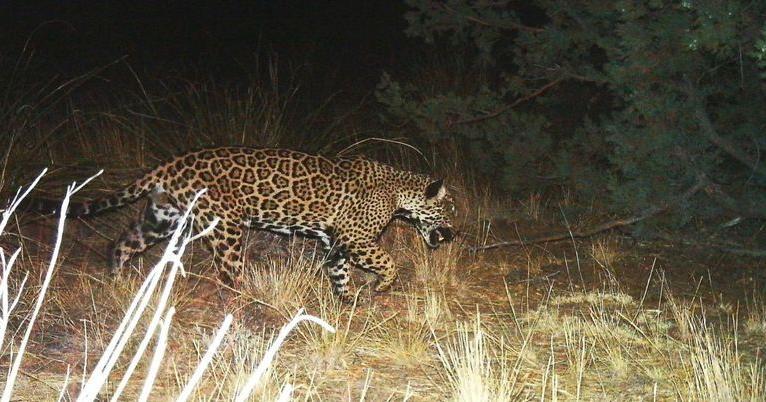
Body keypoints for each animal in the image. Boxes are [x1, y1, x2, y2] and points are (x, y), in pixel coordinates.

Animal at [30, 147, 455, 298]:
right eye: (447, 210)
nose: (453, 232)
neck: (399, 190)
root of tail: (172, 163)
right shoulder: (357, 239)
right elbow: (388, 261)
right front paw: (382, 285)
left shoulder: (335, 243)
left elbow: (339, 273)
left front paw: (347, 302)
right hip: (225, 228)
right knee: (228, 273)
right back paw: (246, 301)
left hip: (162, 218)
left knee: (122, 243)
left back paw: (117, 281)